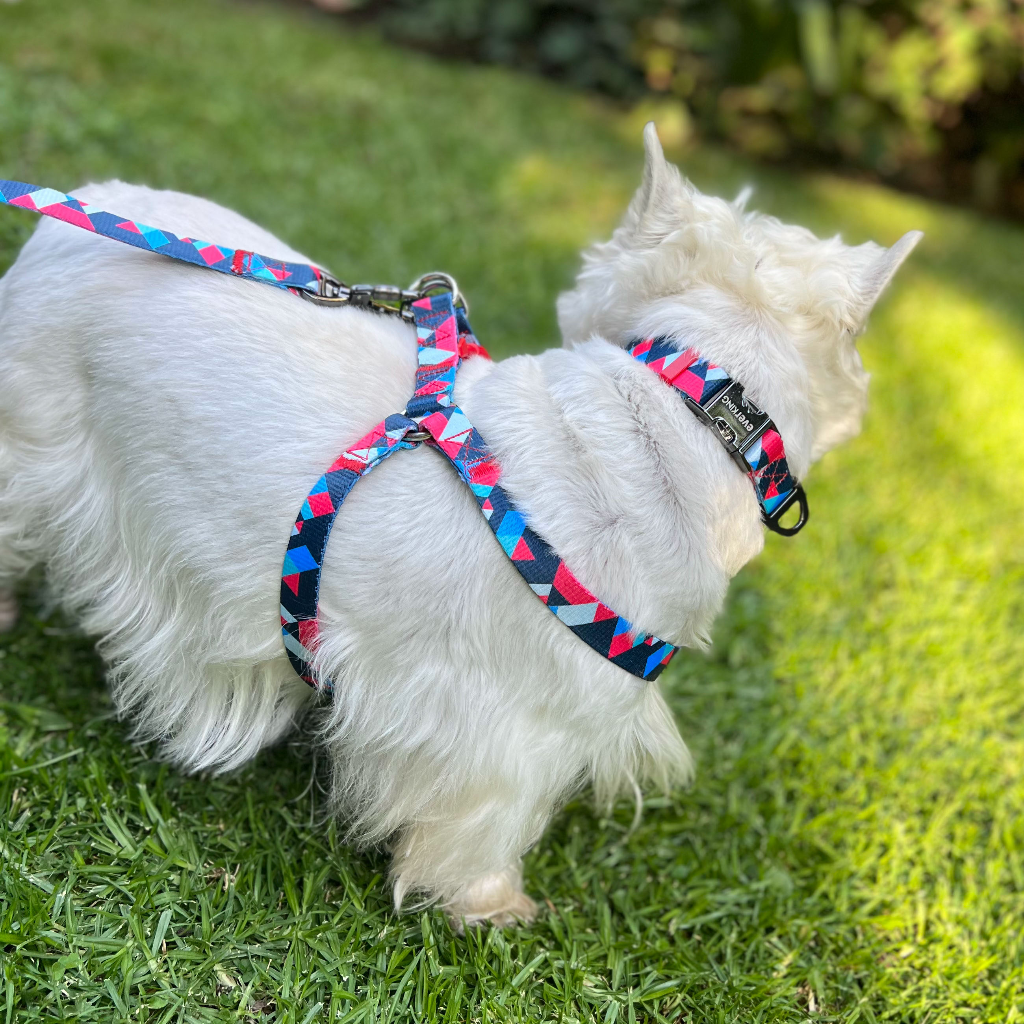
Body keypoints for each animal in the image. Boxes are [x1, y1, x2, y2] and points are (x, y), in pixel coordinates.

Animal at [0, 128, 921, 929]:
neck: (688, 412)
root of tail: (81, 207)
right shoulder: (503, 734)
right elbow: (481, 825)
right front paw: (491, 907)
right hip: (33, 442)